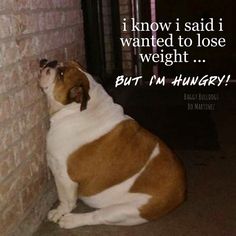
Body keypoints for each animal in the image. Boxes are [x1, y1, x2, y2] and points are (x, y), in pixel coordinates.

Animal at [38, 59, 186, 229]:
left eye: (61, 74)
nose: (49, 61)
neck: (79, 109)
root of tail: (180, 193)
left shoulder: (63, 176)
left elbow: (65, 200)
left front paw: (59, 212)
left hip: (125, 211)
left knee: (97, 217)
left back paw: (72, 220)